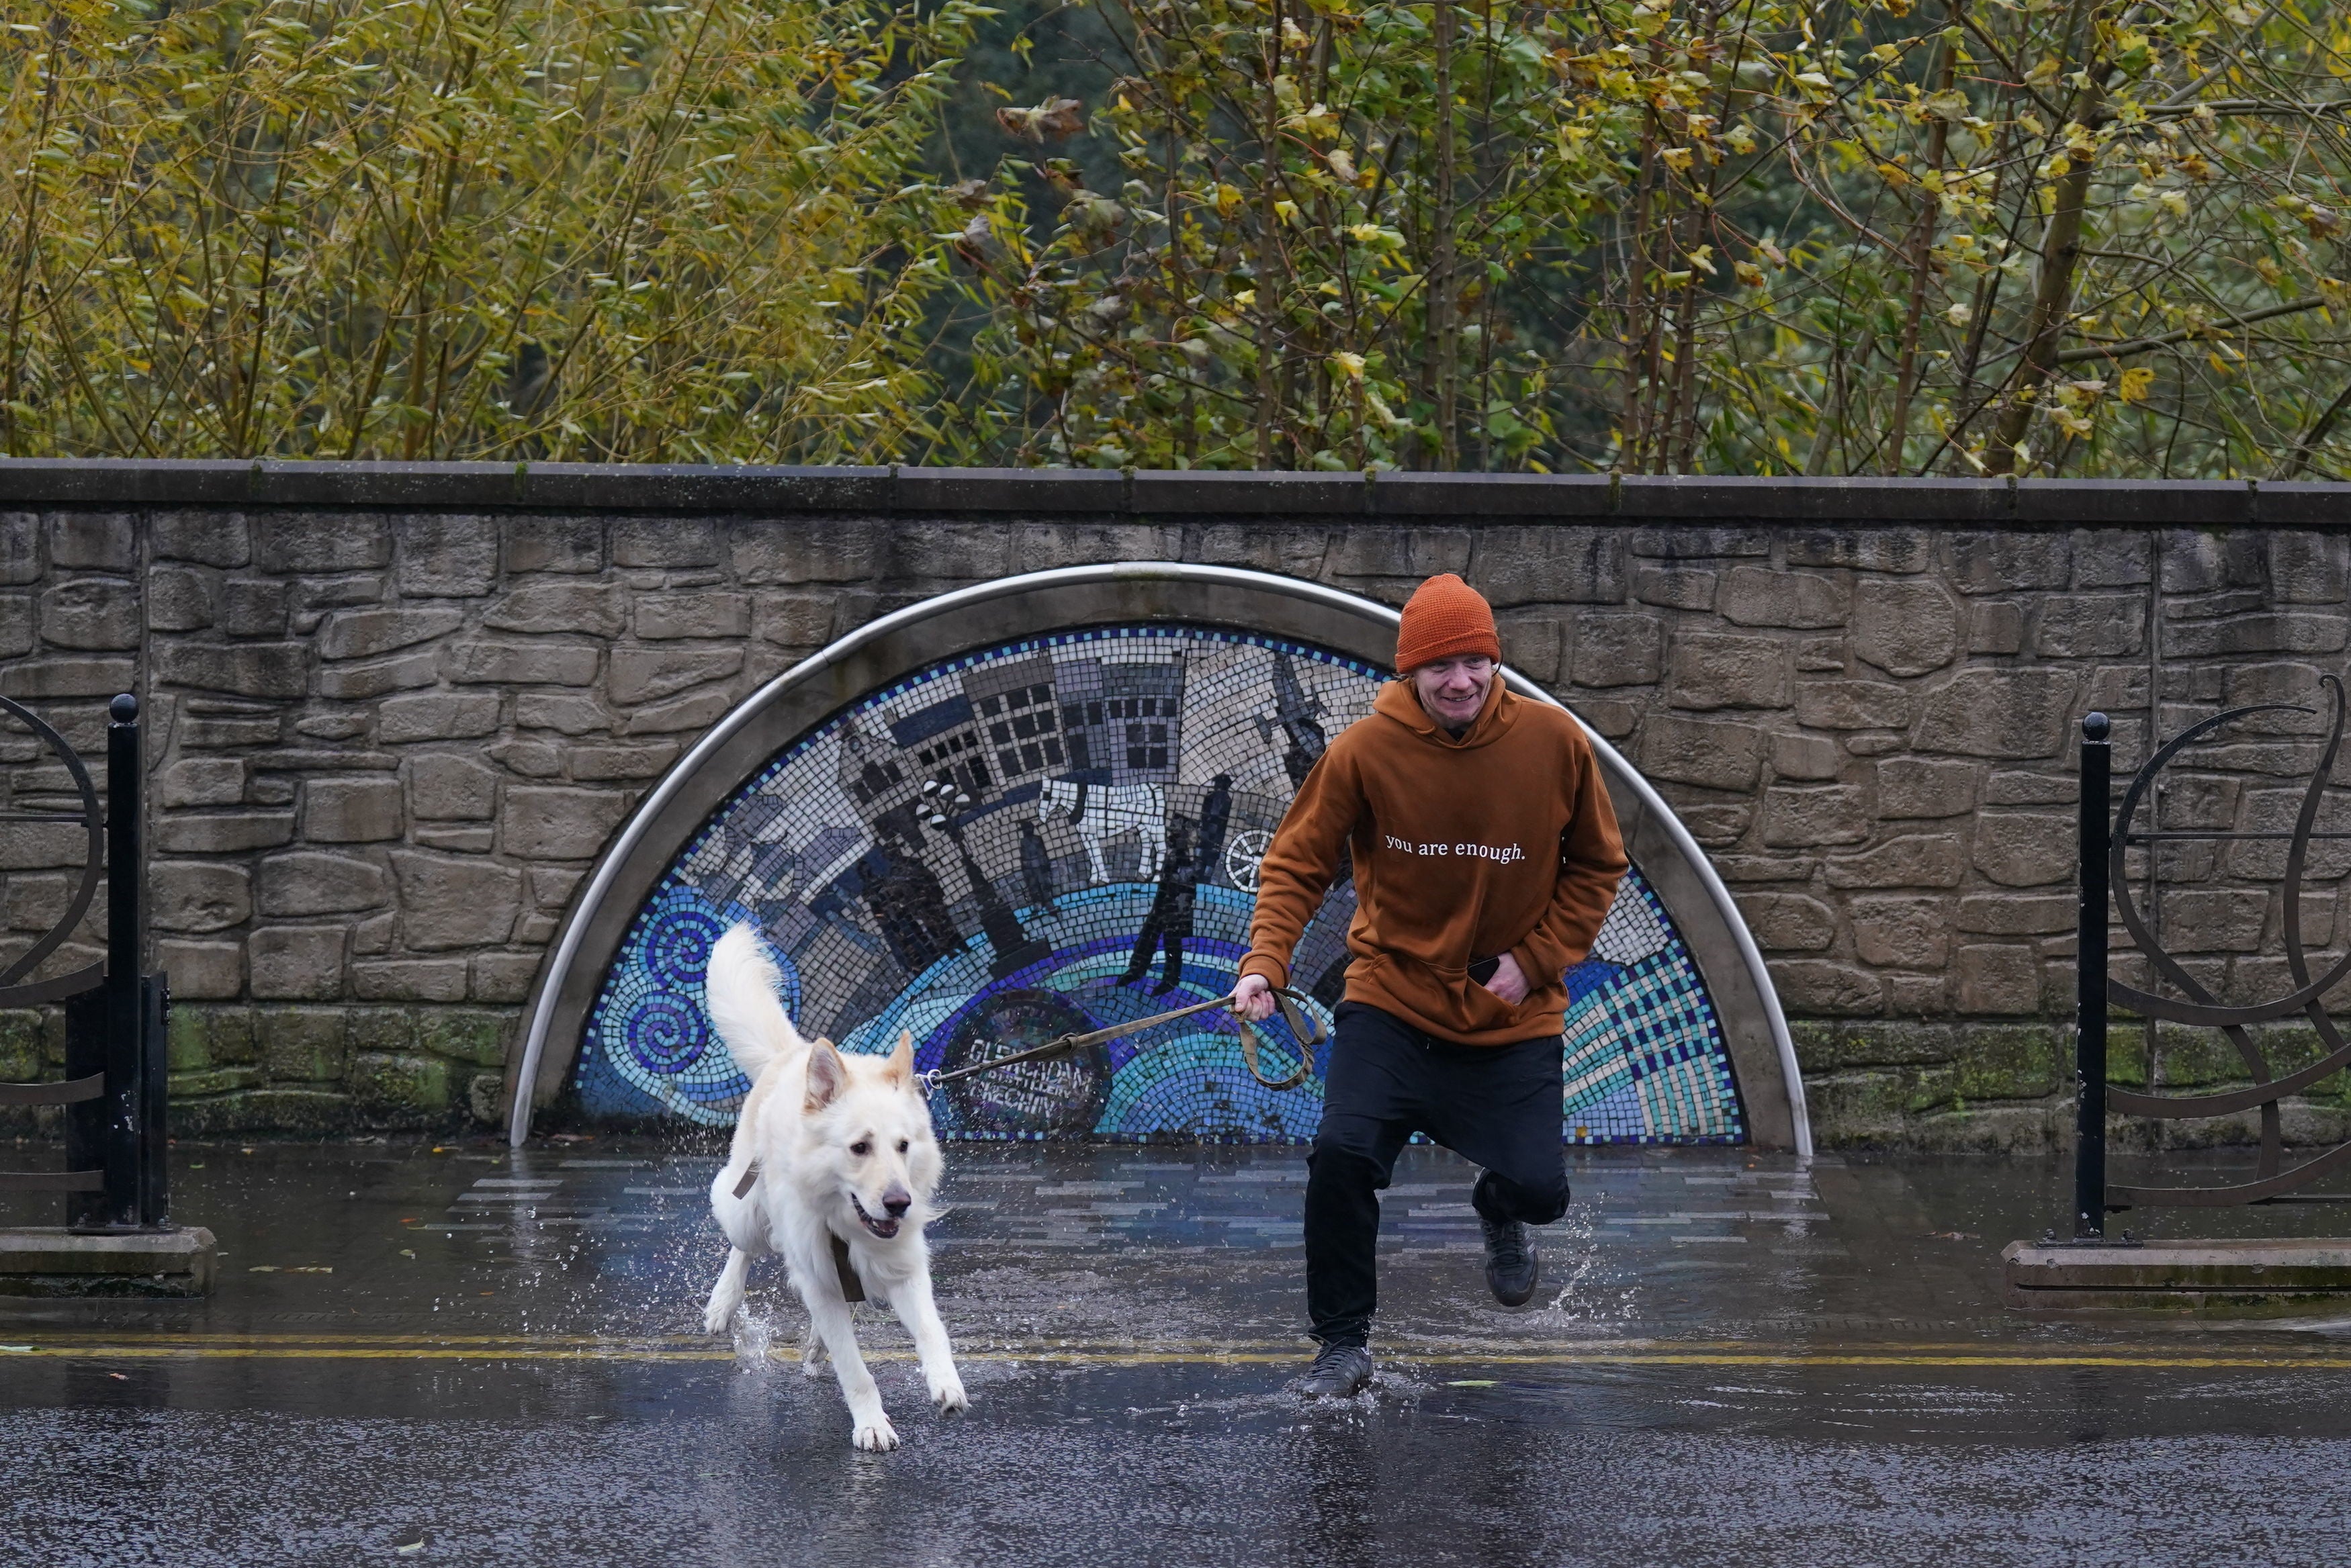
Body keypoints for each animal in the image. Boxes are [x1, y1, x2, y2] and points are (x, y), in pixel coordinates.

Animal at [696, 926, 964, 1457]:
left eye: (904, 1146)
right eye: (860, 1147)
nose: (900, 1203)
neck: (844, 1220)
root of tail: (793, 1054)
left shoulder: (904, 1268)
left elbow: (931, 1330)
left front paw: (946, 1383)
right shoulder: (817, 1276)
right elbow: (856, 1370)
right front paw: (872, 1425)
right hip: (747, 1210)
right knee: (742, 1245)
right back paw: (722, 1303)